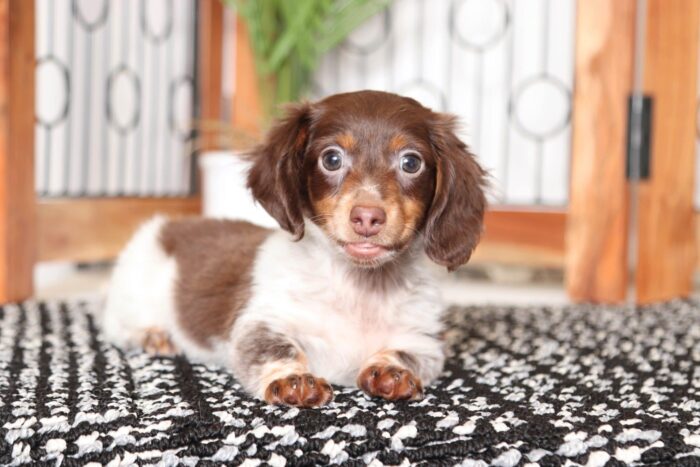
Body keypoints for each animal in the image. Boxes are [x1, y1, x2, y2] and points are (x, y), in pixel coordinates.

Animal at [102, 89, 486, 408]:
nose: (367, 217)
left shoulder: (424, 339)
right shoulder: (261, 321)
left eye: (411, 162)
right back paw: (151, 336)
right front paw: (293, 378)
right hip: (131, 293)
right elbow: (273, 348)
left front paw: (392, 370)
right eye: (331, 159)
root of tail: (168, 225)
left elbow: (409, 354)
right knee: (115, 325)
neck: (358, 288)